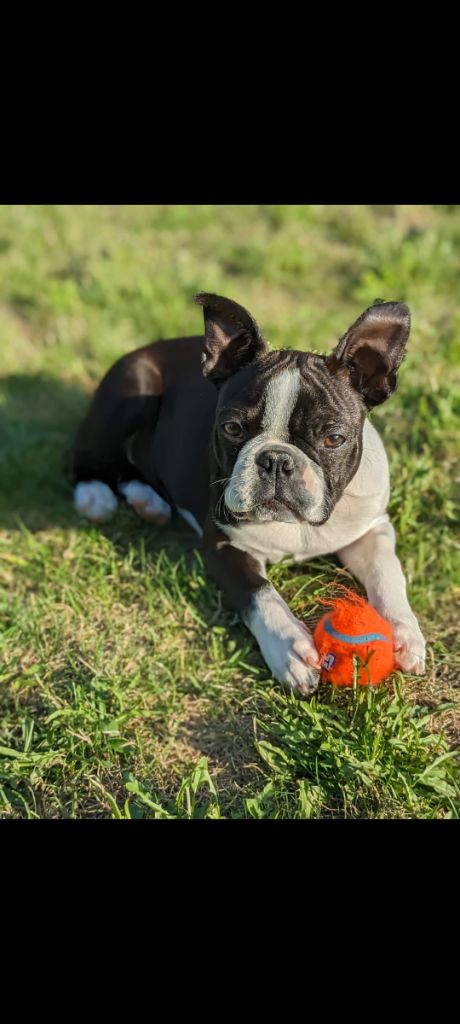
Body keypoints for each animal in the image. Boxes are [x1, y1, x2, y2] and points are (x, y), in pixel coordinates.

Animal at [72, 292, 426, 700]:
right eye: (232, 428)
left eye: (333, 438)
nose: (276, 460)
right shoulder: (223, 545)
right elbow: (259, 593)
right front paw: (289, 648)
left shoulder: (371, 529)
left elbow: (387, 572)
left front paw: (404, 631)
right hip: (129, 394)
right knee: (85, 455)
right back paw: (94, 495)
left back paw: (149, 501)